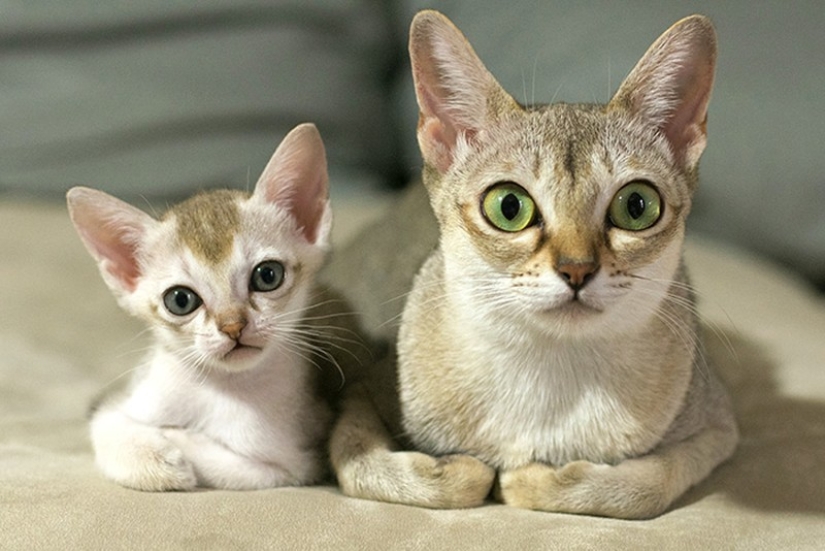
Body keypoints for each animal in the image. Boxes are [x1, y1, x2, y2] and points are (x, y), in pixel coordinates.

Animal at [326, 10, 736, 520]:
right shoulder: (359, 393)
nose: (577, 270)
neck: (549, 371)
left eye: (637, 206)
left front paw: (530, 480)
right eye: (508, 206)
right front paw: (465, 471)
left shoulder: (719, 426)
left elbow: (647, 484)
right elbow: (363, 466)